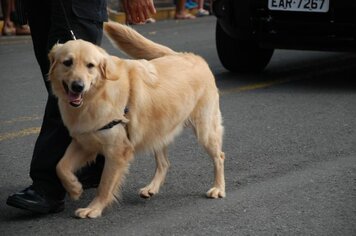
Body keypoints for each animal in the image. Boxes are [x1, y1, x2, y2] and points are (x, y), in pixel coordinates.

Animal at [49, 21, 225, 218]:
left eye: (90, 65)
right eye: (67, 63)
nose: (78, 86)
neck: (96, 96)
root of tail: (187, 55)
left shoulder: (117, 151)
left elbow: (104, 185)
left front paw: (93, 208)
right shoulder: (84, 142)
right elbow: (60, 167)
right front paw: (74, 188)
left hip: (205, 130)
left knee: (219, 157)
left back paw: (218, 188)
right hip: (158, 131)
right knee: (164, 163)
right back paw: (151, 188)